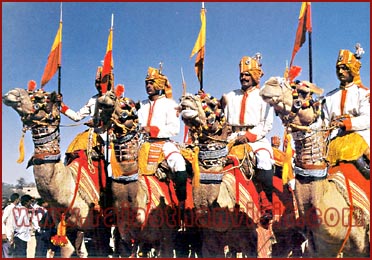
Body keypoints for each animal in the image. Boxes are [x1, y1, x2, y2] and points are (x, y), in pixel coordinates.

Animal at [2, 87, 110, 256]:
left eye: (39, 98)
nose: (13, 92)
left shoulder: (86, 224)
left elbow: (83, 251)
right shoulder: (64, 224)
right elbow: (67, 249)